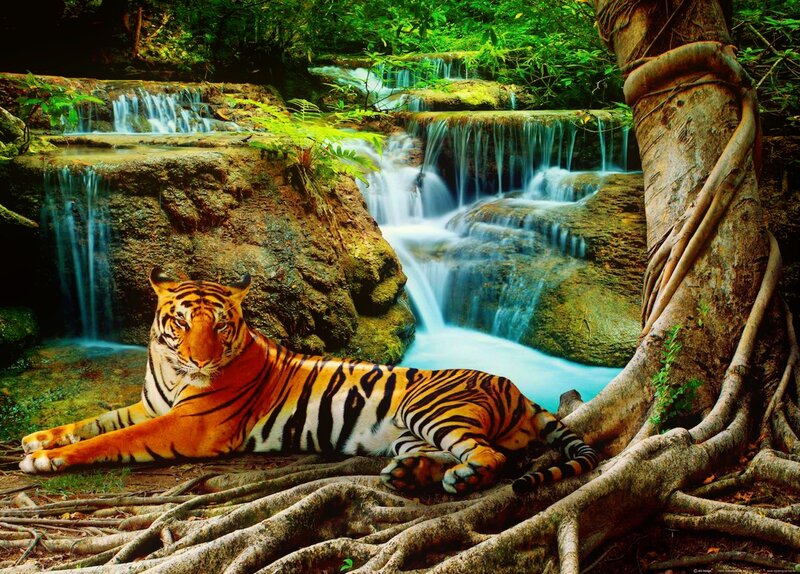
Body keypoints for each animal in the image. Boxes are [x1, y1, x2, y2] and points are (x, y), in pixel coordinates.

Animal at [20, 268, 599, 495]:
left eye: (220, 325)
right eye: (181, 324)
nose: (202, 360)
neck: (169, 368)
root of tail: (516, 388)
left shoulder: (187, 426)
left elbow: (111, 439)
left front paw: (47, 460)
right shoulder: (151, 406)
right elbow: (96, 421)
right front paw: (37, 439)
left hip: (430, 410)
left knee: (491, 457)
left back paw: (460, 478)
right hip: (410, 431)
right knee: (449, 454)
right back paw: (408, 475)